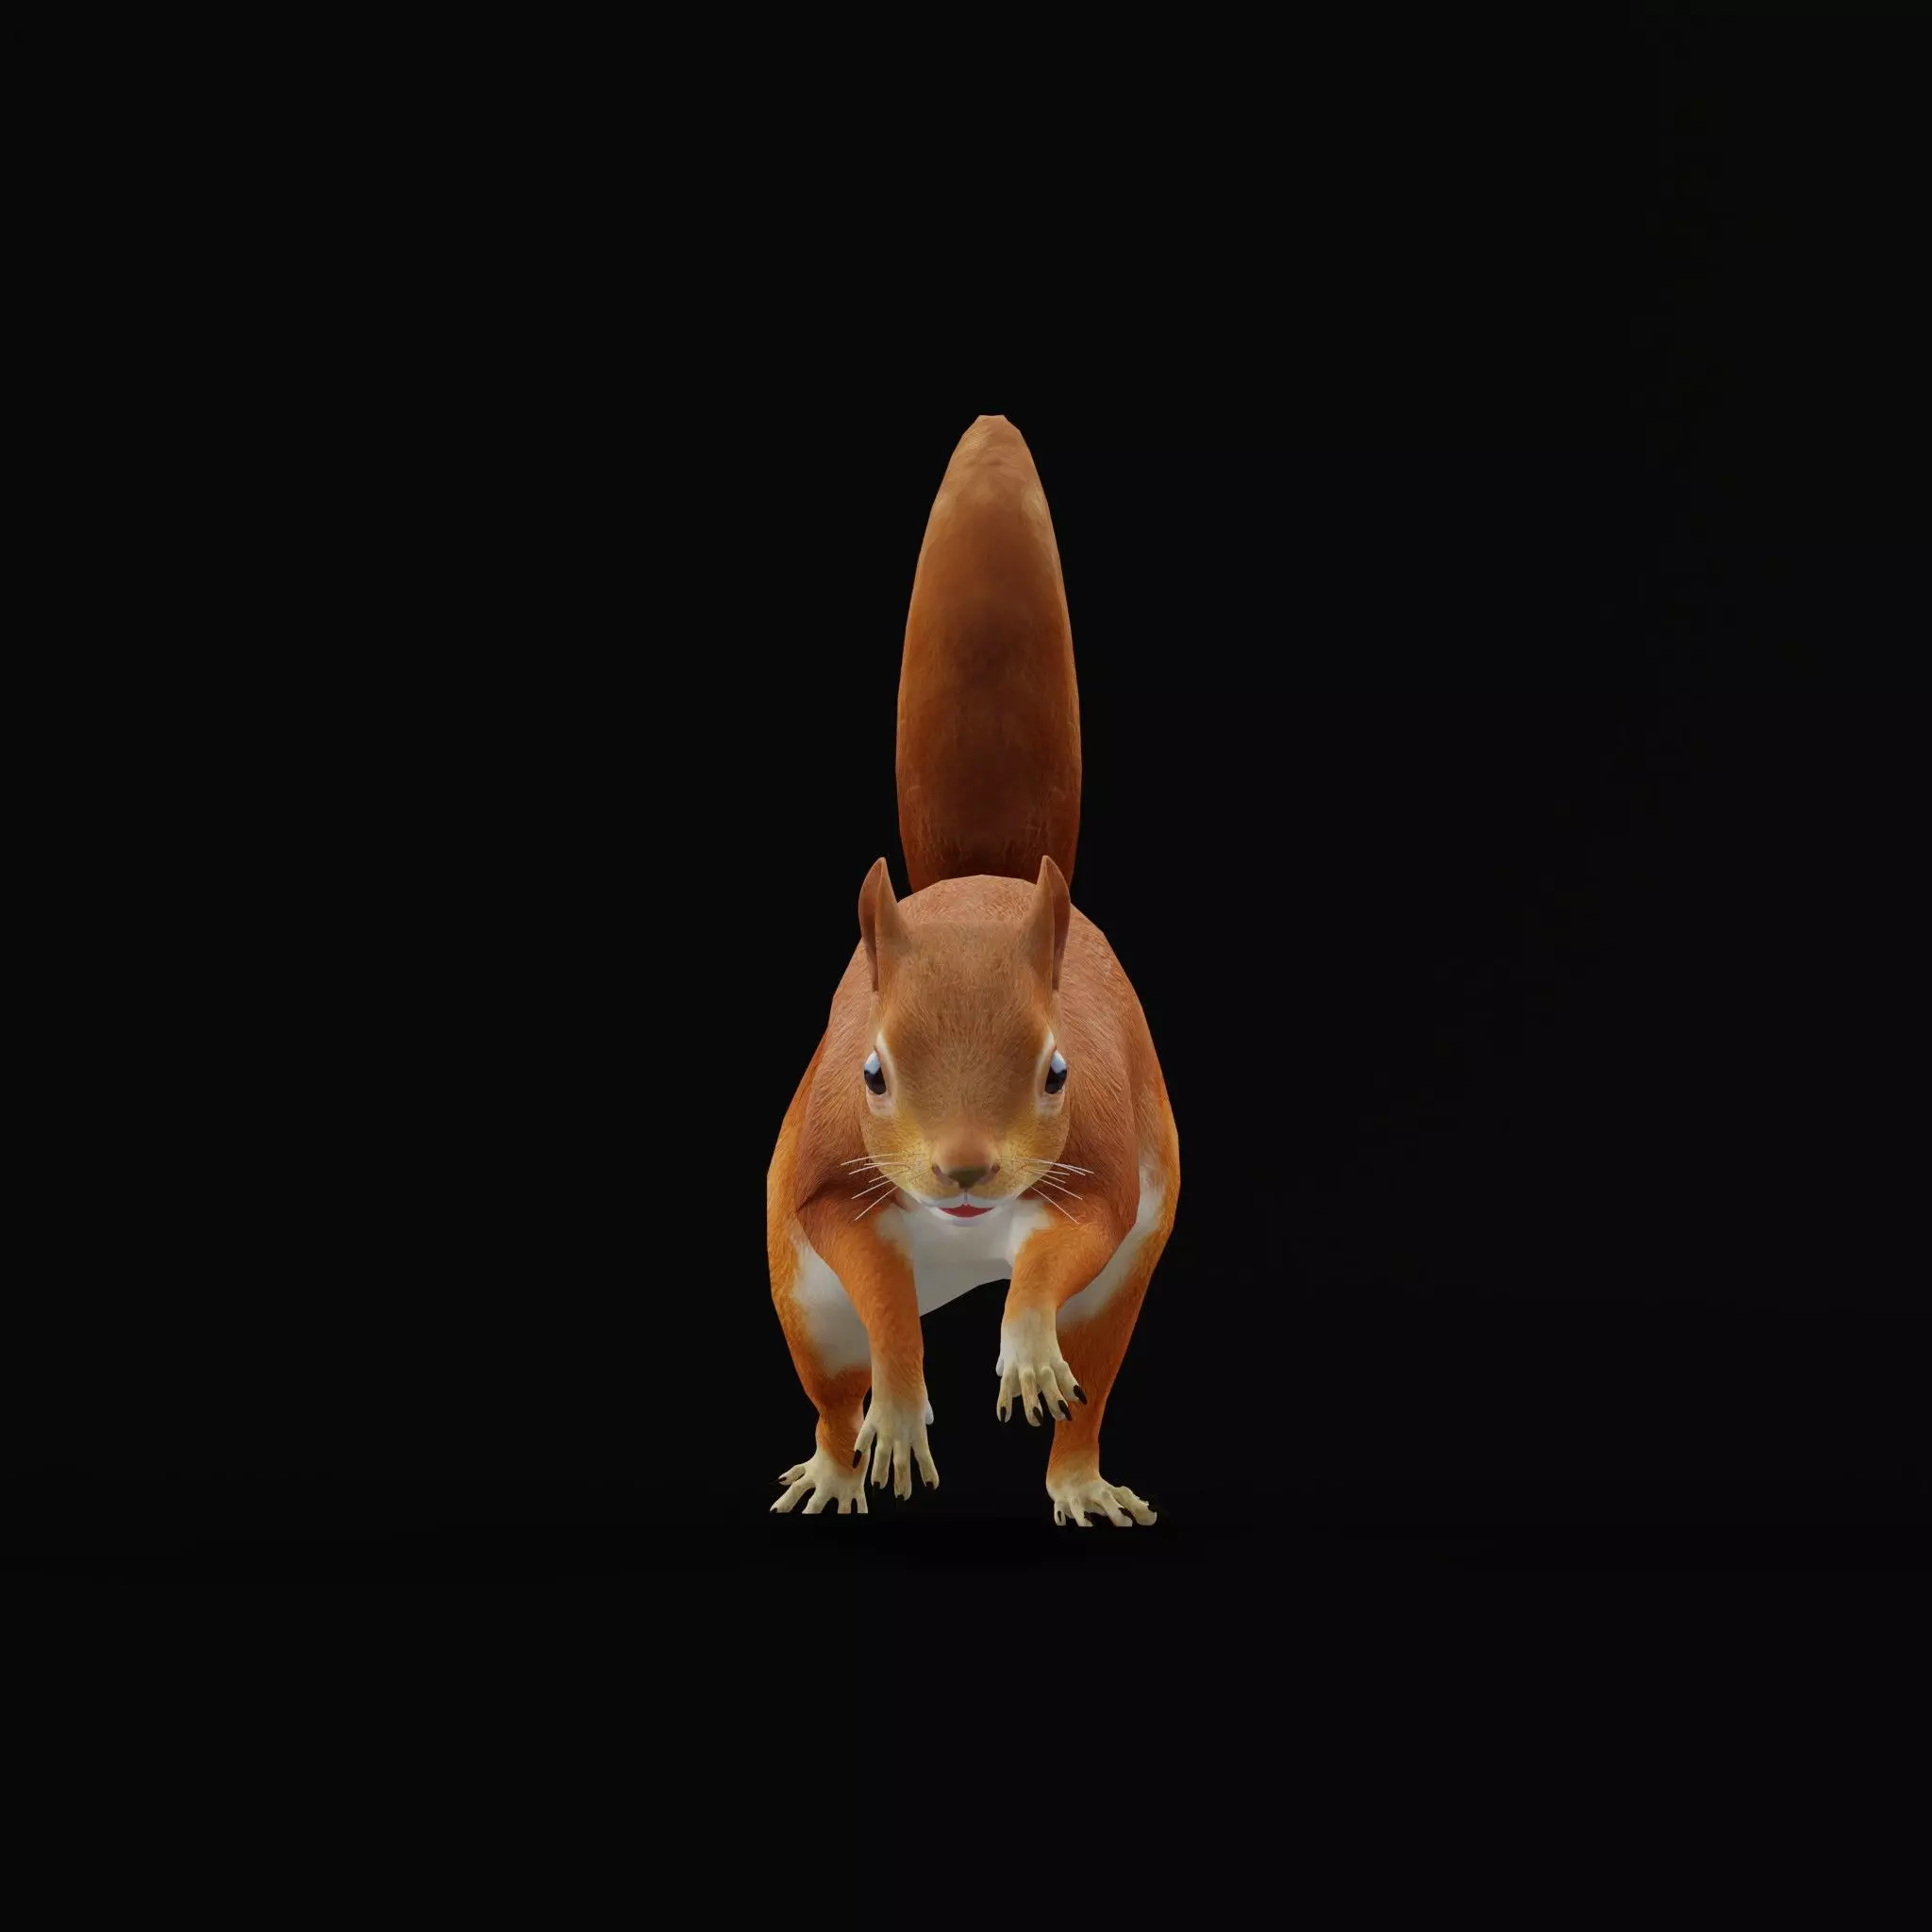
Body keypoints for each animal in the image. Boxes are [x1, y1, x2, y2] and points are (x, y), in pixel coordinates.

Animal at [766, 415, 1180, 1527]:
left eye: (1058, 1071)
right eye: (869, 1072)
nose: (962, 1171)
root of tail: (983, 878)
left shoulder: (1104, 1172)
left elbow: (1069, 1244)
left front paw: (1025, 1353)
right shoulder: (824, 1182)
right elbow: (878, 1293)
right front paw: (903, 1409)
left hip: (1118, 1295)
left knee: (1089, 1379)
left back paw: (1080, 1479)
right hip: (804, 1306)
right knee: (834, 1386)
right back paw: (835, 1466)